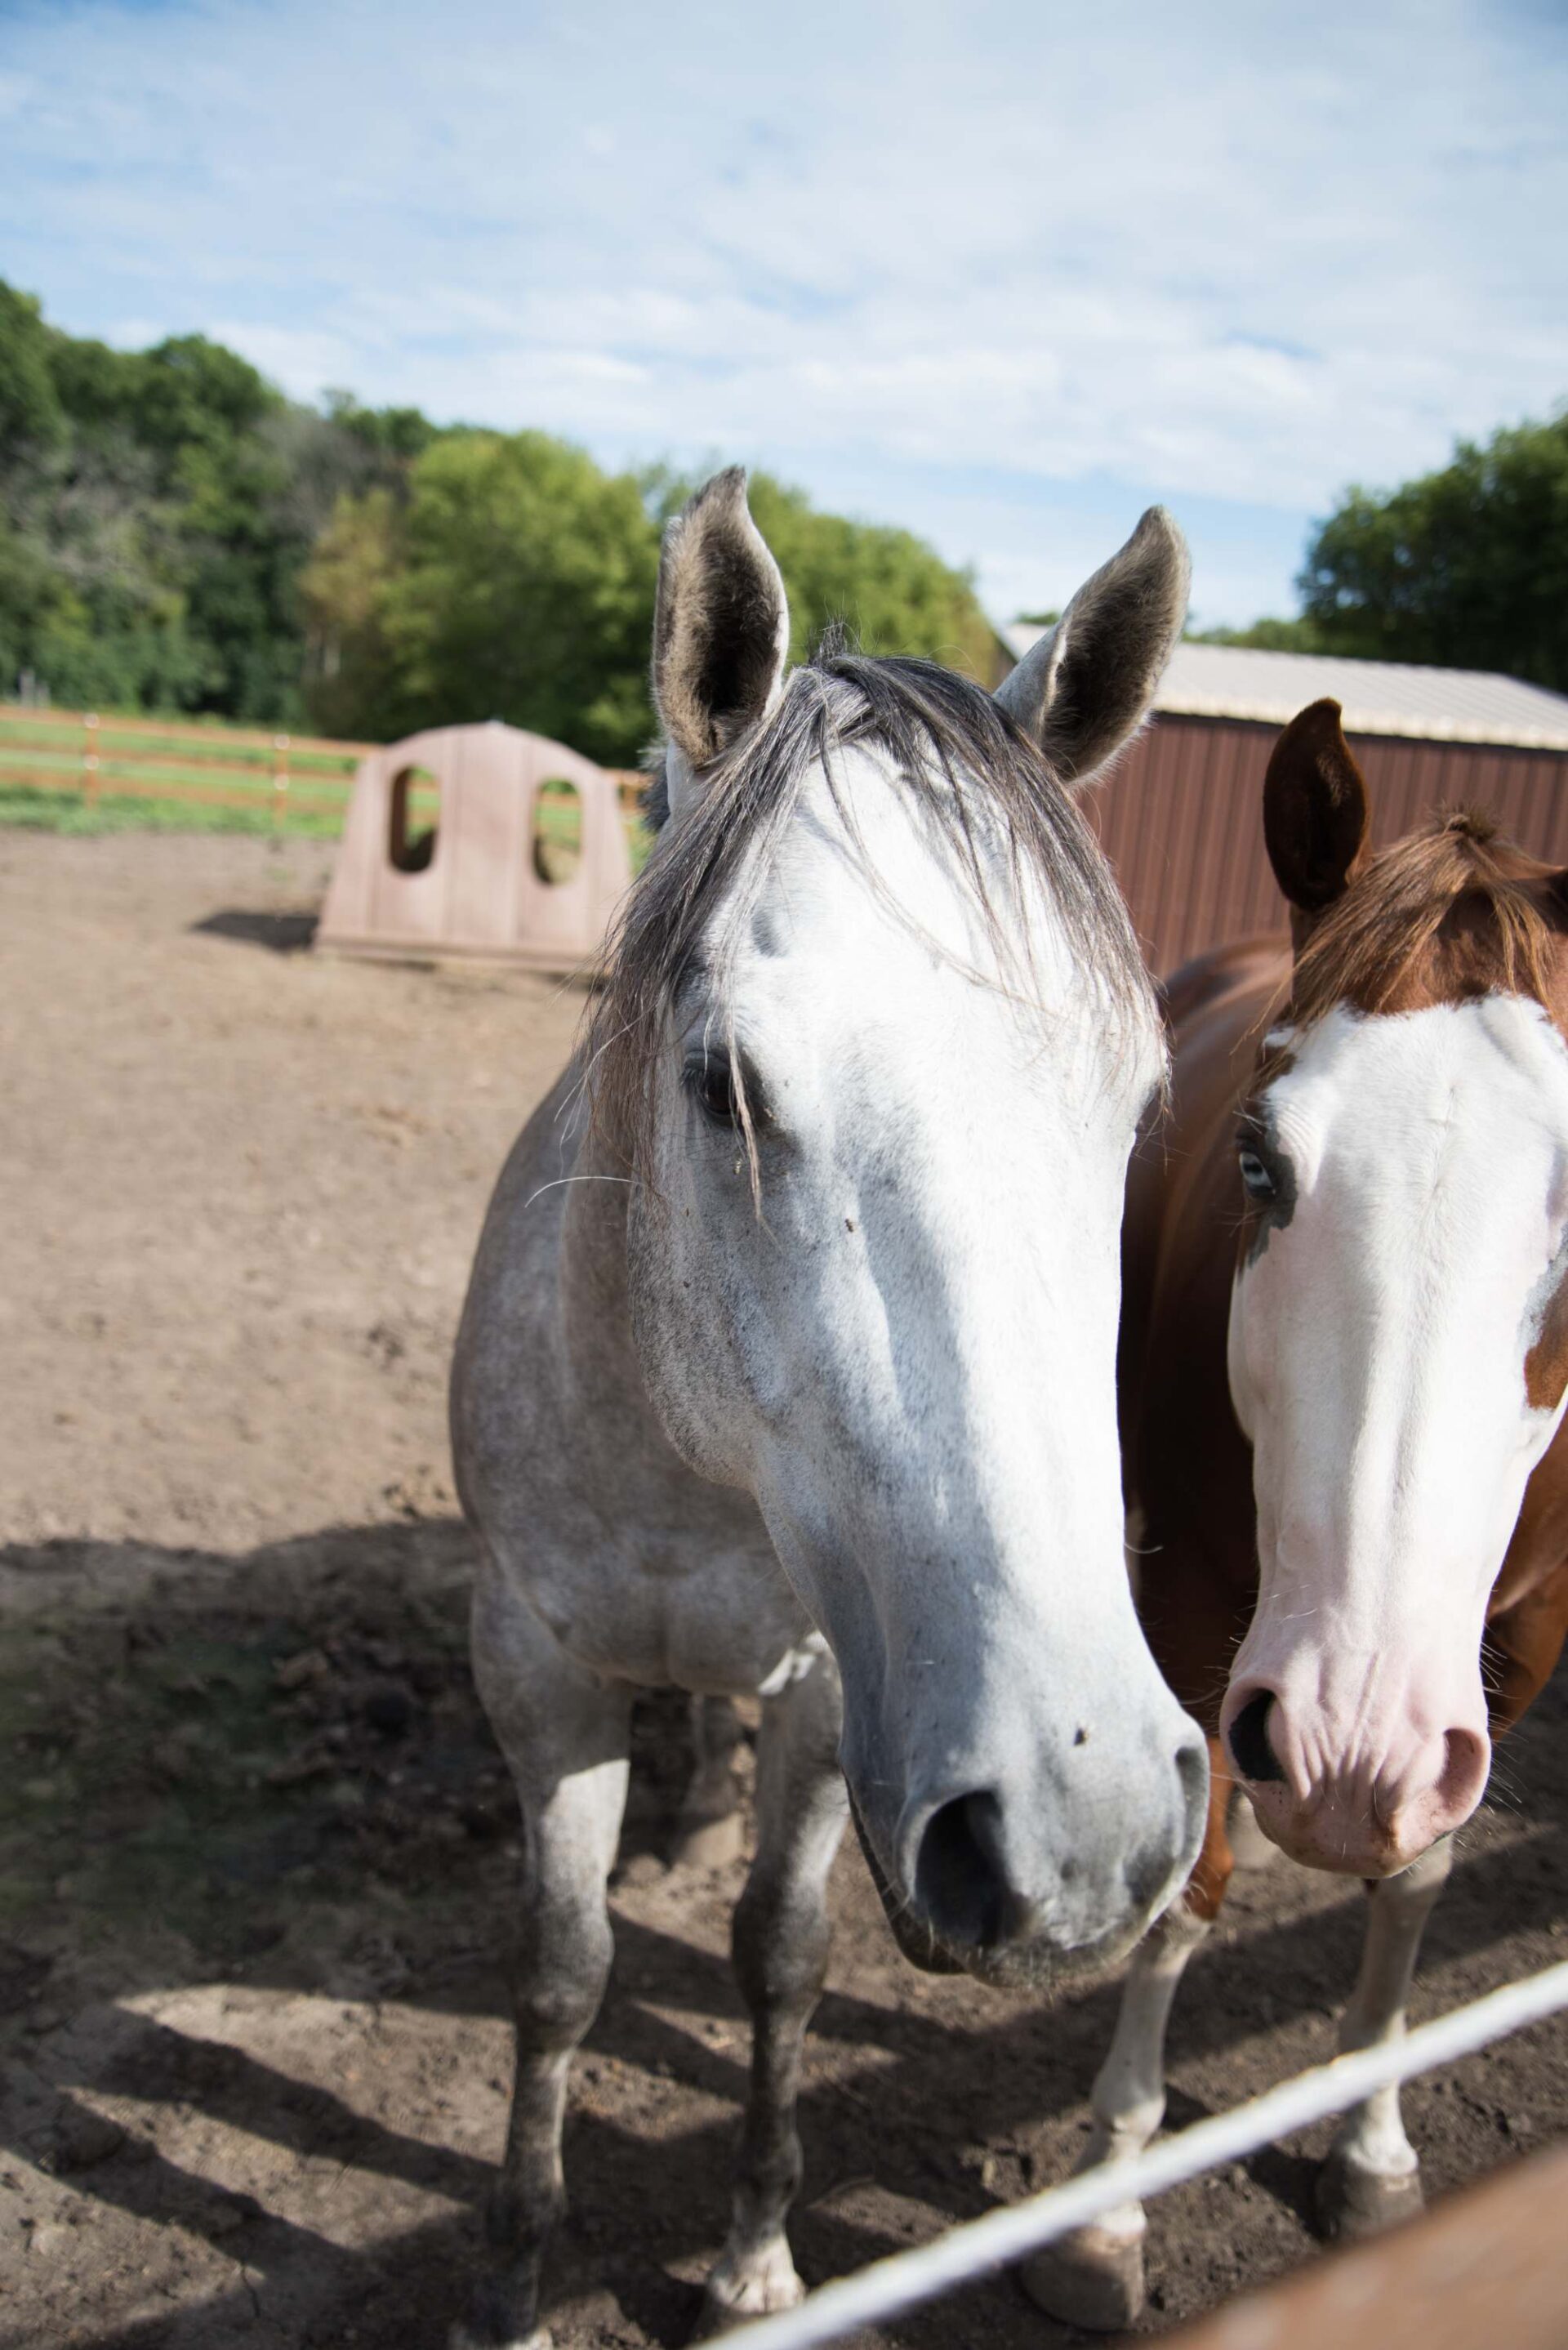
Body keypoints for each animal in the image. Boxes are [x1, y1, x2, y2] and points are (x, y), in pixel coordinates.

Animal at [446, 467, 1213, 2340]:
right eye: (722, 1080)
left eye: (1137, 1099)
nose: (1084, 1821)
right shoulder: (532, 1663)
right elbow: (559, 1973)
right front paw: (516, 2271)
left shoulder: (818, 1689)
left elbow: (780, 1959)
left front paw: (752, 2258)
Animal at [1029, 695, 1568, 2330]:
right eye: (1260, 1161)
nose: (1348, 1744)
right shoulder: (1196, 1605)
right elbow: (1190, 1883)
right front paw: (1103, 2214)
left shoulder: (1524, 1639)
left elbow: (1421, 1871)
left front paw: (1371, 2142)